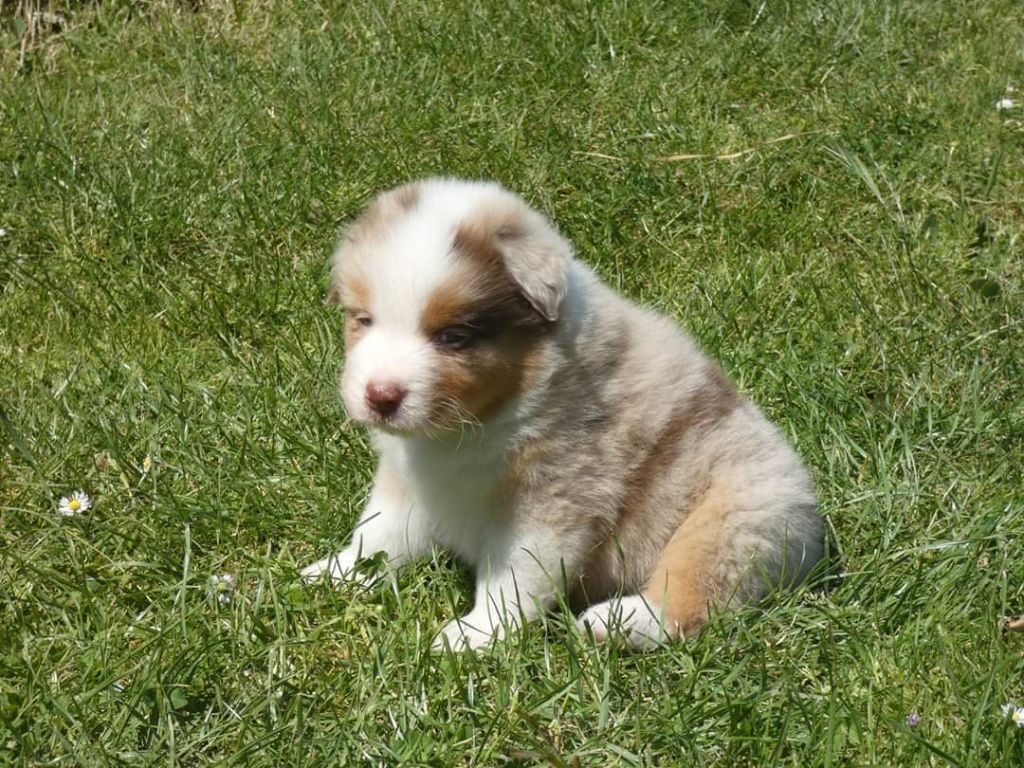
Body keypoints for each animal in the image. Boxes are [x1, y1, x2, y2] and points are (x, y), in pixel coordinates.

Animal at [301, 178, 823, 650]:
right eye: (364, 320)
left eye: (454, 337)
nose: (380, 396)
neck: (483, 419)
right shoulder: (410, 481)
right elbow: (380, 532)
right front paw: (334, 574)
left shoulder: (554, 498)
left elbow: (513, 576)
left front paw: (474, 635)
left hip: (737, 518)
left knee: (693, 592)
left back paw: (616, 623)